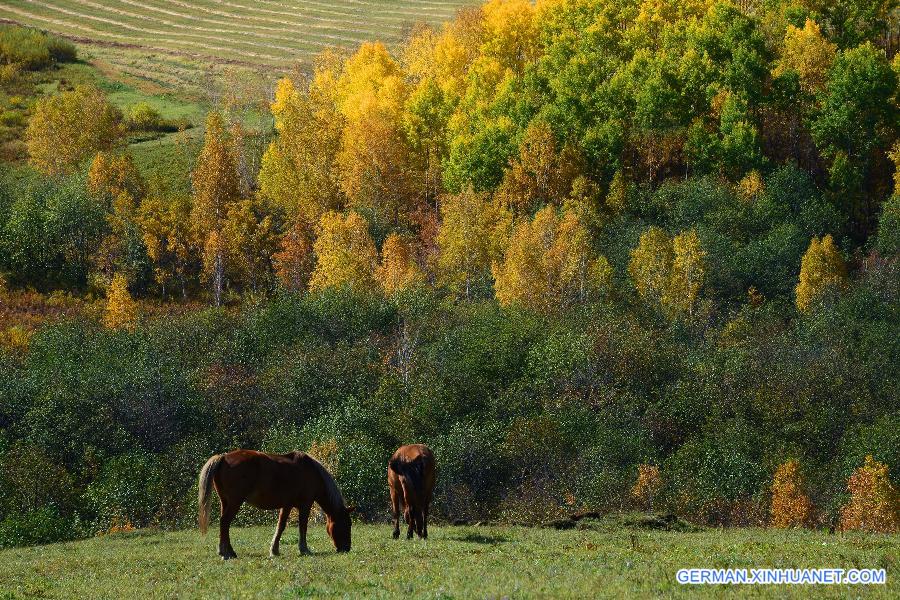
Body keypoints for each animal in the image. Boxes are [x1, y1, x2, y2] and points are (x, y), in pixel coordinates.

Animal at [199, 450, 354, 556]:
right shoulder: (305, 505)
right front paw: (304, 549)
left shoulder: (287, 505)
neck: (311, 472)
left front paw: (274, 550)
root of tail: (223, 457)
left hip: (225, 502)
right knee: (225, 522)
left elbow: (281, 526)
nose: (346, 548)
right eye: (347, 524)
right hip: (234, 502)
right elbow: (302, 527)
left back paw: (226, 550)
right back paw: (227, 553)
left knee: (223, 525)